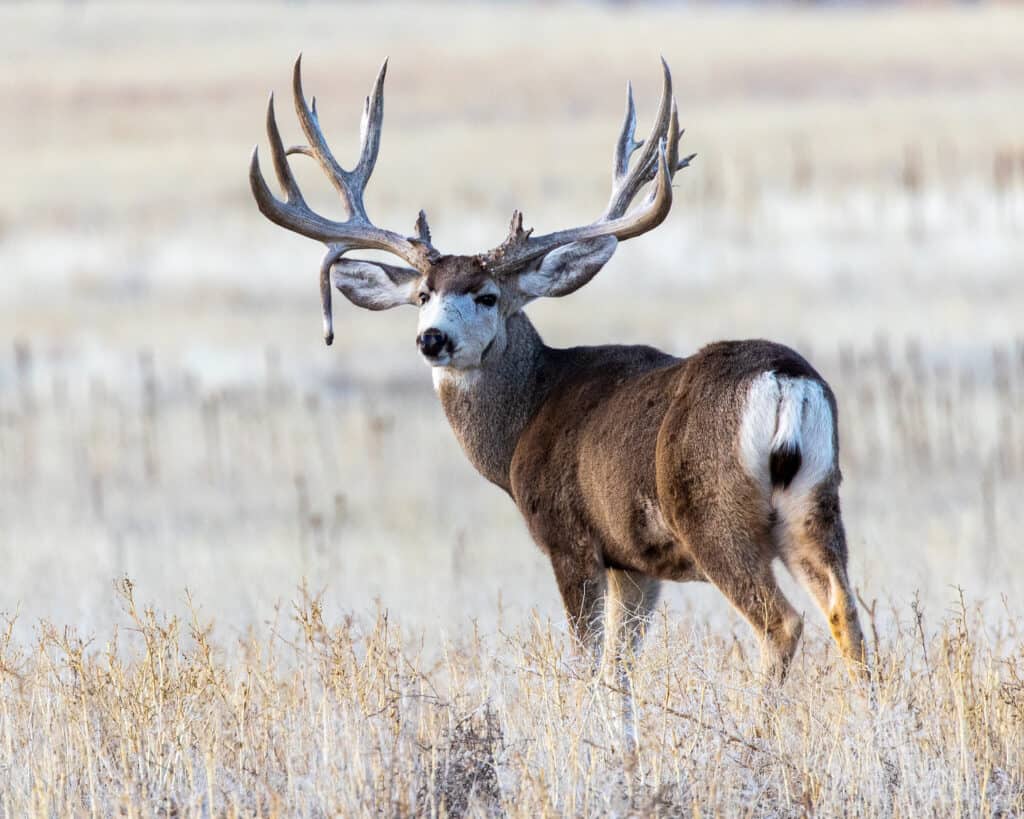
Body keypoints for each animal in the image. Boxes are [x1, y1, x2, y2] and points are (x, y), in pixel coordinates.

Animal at [247, 57, 864, 745]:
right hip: (816, 502)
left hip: (715, 512)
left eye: (488, 295)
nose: (433, 339)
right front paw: (625, 747)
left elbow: (588, 665)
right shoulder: (636, 561)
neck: (525, 420)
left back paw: (753, 739)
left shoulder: (571, 538)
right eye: (422, 295)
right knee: (846, 614)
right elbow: (620, 668)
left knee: (782, 622)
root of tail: (785, 380)